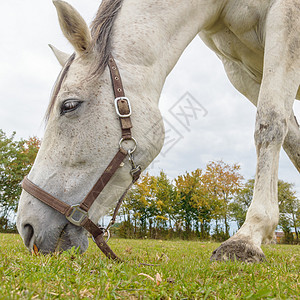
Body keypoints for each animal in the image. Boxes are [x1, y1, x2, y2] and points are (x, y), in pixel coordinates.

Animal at [17, 0, 300, 262]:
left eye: (69, 105)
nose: (26, 227)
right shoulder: (239, 69)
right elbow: (292, 142)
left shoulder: (285, 20)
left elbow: (270, 122)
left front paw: (248, 237)